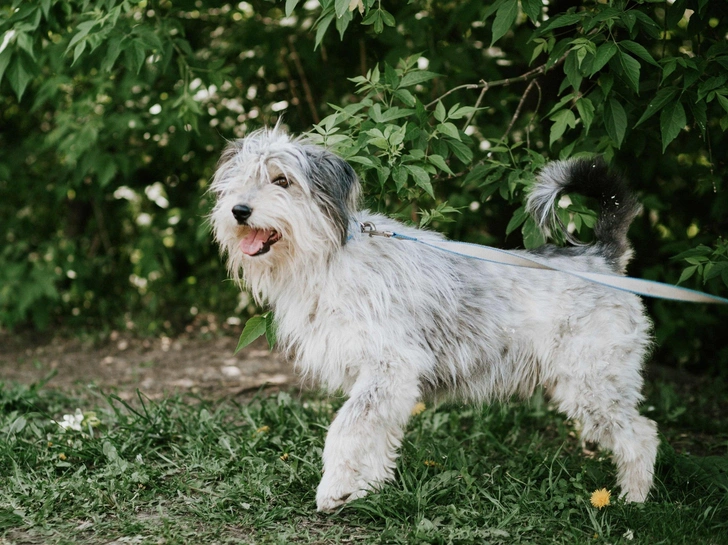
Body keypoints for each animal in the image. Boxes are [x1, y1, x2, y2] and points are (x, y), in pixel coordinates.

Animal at [210, 127, 660, 510]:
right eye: (239, 180)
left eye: (282, 181)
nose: (239, 210)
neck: (329, 259)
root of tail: (601, 257)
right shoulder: (386, 382)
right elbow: (376, 436)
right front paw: (367, 487)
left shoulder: (389, 368)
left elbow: (346, 429)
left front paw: (335, 489)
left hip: (592, 385)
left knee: (643, 435)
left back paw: (634, 501)